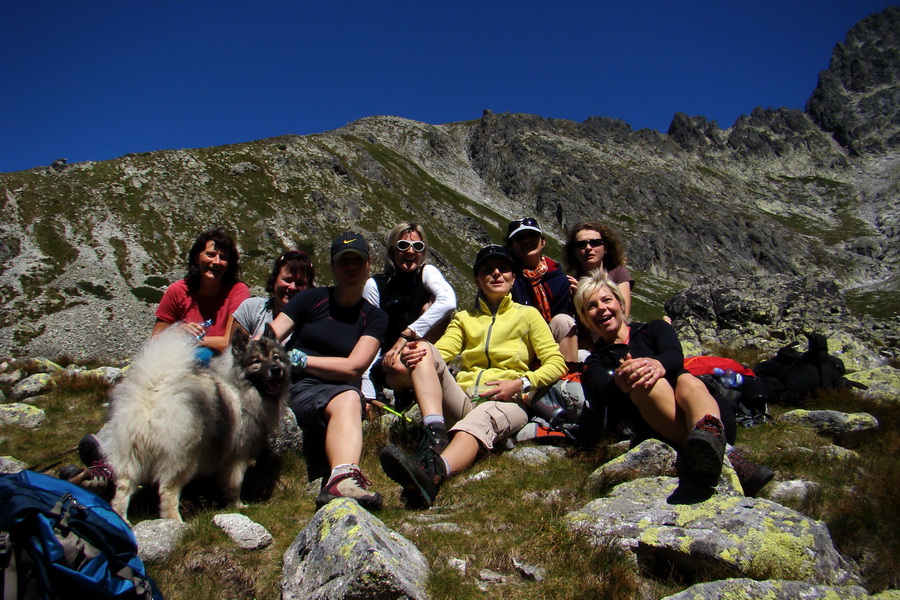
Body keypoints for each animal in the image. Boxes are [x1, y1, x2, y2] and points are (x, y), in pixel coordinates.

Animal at [105, 324, 288, 520]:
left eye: (276, 357)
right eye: (256, 361)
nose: (276, 369)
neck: (240, 386)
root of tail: (154, 392)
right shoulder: (238, 454)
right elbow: (235, 484)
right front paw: (237, 505)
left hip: (131, 455)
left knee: (123, 489)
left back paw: (121, 518)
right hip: (184, 456)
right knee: (167, 489)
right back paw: (175, 521)